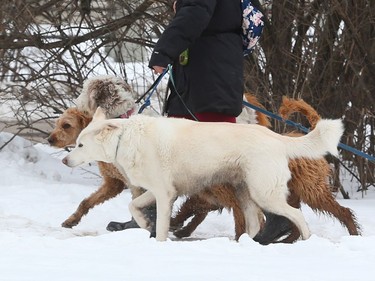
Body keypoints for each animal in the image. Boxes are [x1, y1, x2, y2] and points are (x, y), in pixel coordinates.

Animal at [63, 107, 346, 241]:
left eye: (80, 145)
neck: (125, 139)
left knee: (295, 215)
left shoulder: (164, 195)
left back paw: (306, 241)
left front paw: (158, 241)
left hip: (264, 193)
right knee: (256, 223)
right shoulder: (161, 191)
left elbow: (162, 226)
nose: (65, 160)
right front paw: (143, 224)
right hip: (246, 194)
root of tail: (277, 138)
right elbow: (134, 206)